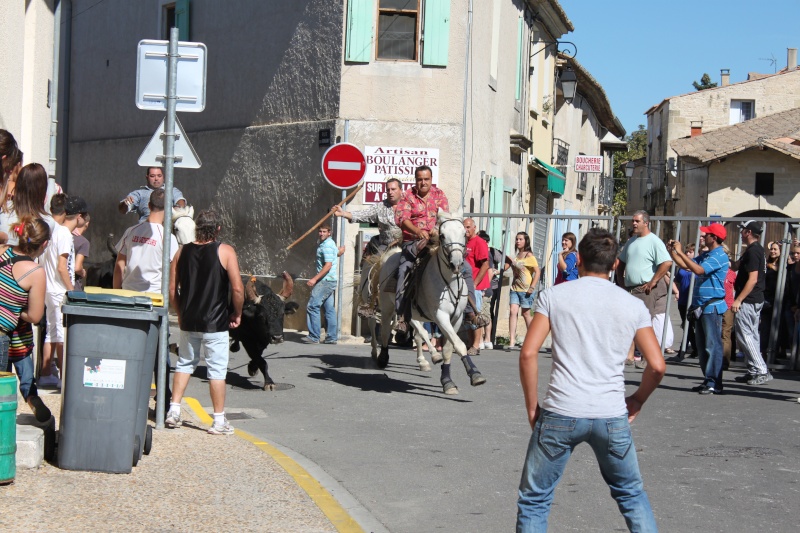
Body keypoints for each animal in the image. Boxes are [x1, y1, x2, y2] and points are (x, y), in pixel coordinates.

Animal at [368, 208, 488, 394]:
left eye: (464, 234)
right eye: (443, 235)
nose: (456, 264)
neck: (448, 282)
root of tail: (389, 256)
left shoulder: (456, 318)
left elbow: (449, 348)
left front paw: (448, 381)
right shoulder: (440, 316)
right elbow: (459, 344)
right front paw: (474, 374)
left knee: (415, 331)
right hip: (387, 307)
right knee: (384, 330)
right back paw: (382, 357)